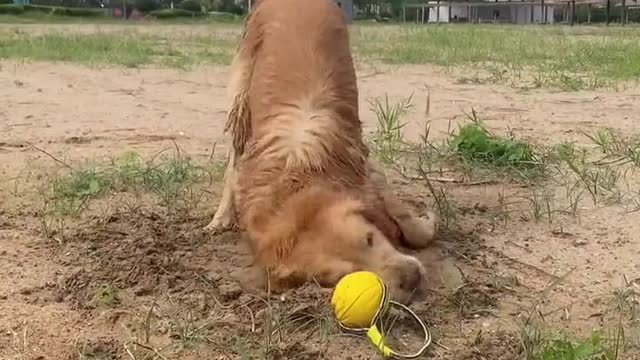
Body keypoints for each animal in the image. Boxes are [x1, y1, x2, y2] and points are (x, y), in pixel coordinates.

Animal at [208, 0, 438, 302]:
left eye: (369, 238)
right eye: (345, 277)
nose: (411, 279)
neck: (300, 178)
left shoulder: (368, 171)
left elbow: (409, 223)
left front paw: (427, 220)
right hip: (242, 91)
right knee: (233, 160)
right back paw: (220, 218)